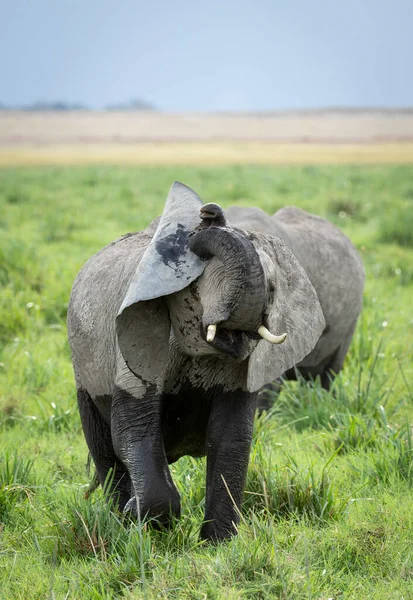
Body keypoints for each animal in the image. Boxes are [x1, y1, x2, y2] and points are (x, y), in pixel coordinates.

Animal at [67, 180, 364, 540]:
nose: (209, 213)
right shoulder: (136, 337)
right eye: (194, 289)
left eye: (272, 289)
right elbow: (132, 430)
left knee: (327, 377)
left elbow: (231, 437)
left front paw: (217, 544)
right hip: (83, 371)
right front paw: (136, 514)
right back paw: (119, 517)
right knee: (104, 450)